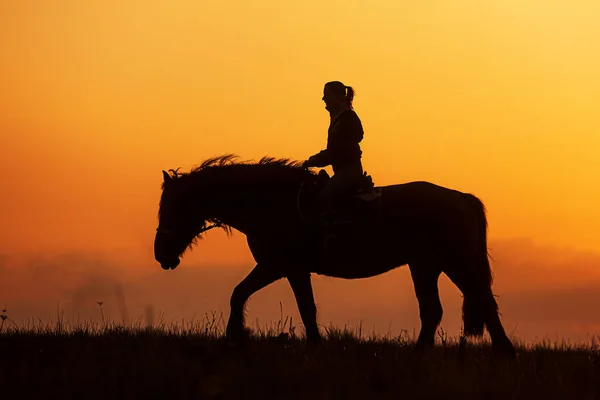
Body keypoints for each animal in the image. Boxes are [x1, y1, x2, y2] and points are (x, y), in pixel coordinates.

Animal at [154, 155, 516, 356]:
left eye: (171, 207)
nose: (161, 254)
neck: (270, 202)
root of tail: (463, 198)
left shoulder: (279, 266)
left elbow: (245, 295)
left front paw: (234, 338)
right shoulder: (289, 269)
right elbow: (300, 307)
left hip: (453, 264)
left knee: (476, 303)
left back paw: (502, 353)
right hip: (426, 266)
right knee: (441, 309)